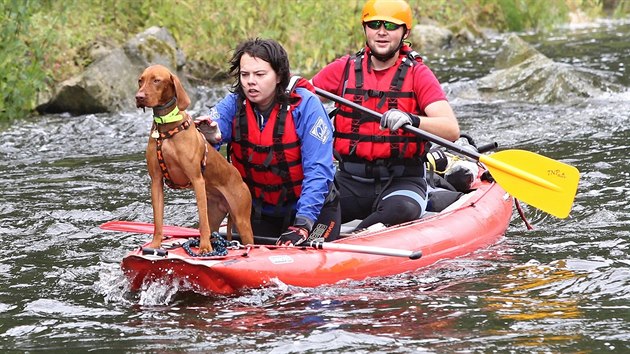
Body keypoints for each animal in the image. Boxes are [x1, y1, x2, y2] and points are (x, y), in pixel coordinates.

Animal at [137, 63, 256, 252]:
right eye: (140, 80)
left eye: (157, 80)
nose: (139, 97)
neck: (166, 130)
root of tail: (239, 179)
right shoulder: (156, 181)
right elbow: (158, 221)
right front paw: (155, 245)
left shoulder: (197, 180)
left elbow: (202, 223)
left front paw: (205, 248)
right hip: (216, 212)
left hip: (242, 219)